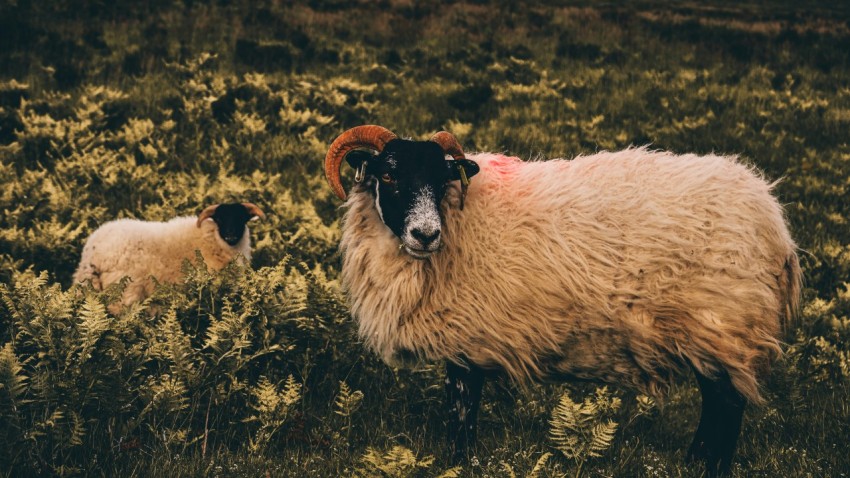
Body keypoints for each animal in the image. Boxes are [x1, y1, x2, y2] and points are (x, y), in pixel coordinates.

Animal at [74, 203, 264, 310]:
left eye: (242, 218)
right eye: (220, 218)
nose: (231, 235)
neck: (212, 239)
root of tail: (92, 254)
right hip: (123, 293)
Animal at [322, 125, 800, 476]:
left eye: (442, 180)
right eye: (388, 175)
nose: (426, 234)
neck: (459, 220)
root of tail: (772, 219)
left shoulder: (463, 338)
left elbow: (461, 416)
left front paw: (460, 463)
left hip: (722, 322)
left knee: (725, 407)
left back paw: (703, 466)